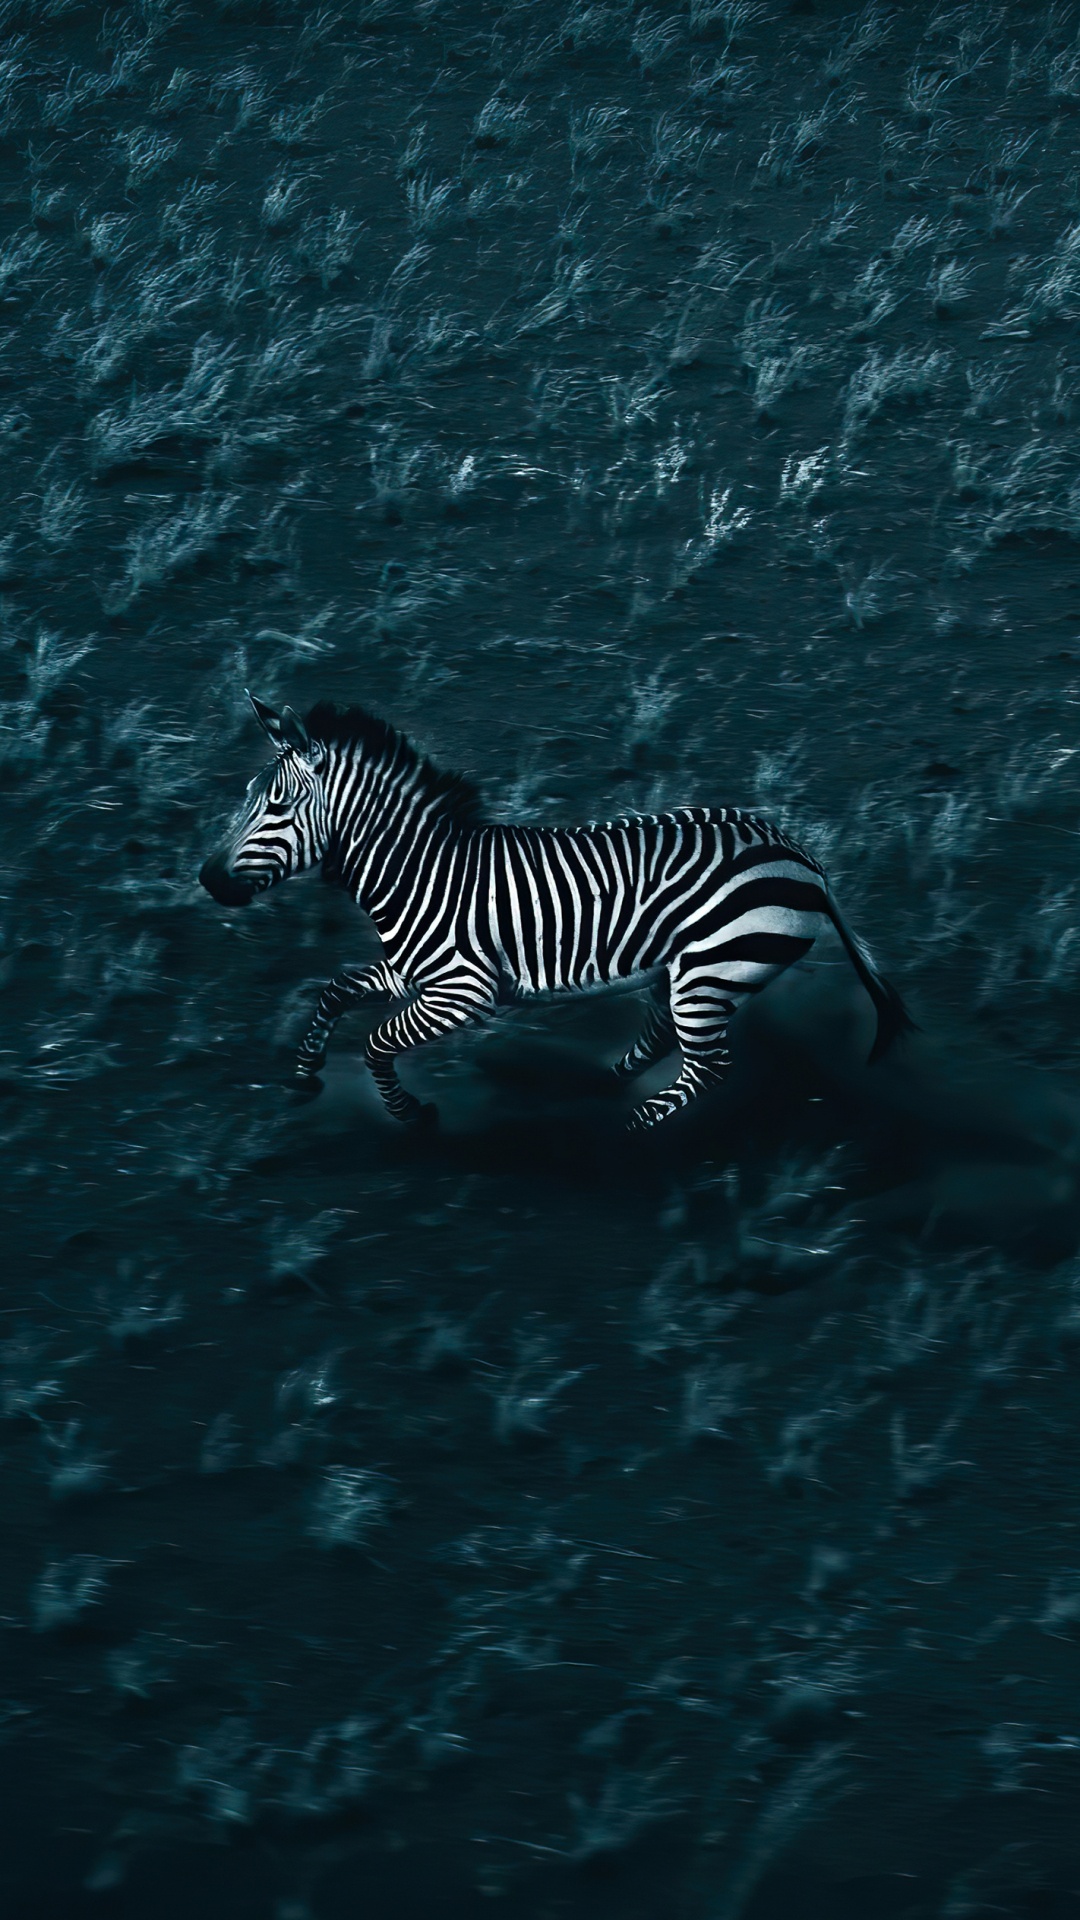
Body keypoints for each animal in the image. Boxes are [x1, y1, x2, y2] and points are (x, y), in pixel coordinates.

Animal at [199, 694, 913, 1132]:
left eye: (276, 807)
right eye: (247, 795)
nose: (206, 881)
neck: (418, 871)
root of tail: (803, 856)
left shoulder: (464, 993)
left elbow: (375, 1042)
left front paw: (411, 1115)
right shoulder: (413, 974)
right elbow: (334, 991)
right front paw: (303, 1075)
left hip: (712, 967)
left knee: (708, 1066)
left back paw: (628, 1129)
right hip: (685, 969)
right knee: (666, 1038)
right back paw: (604, 1082)